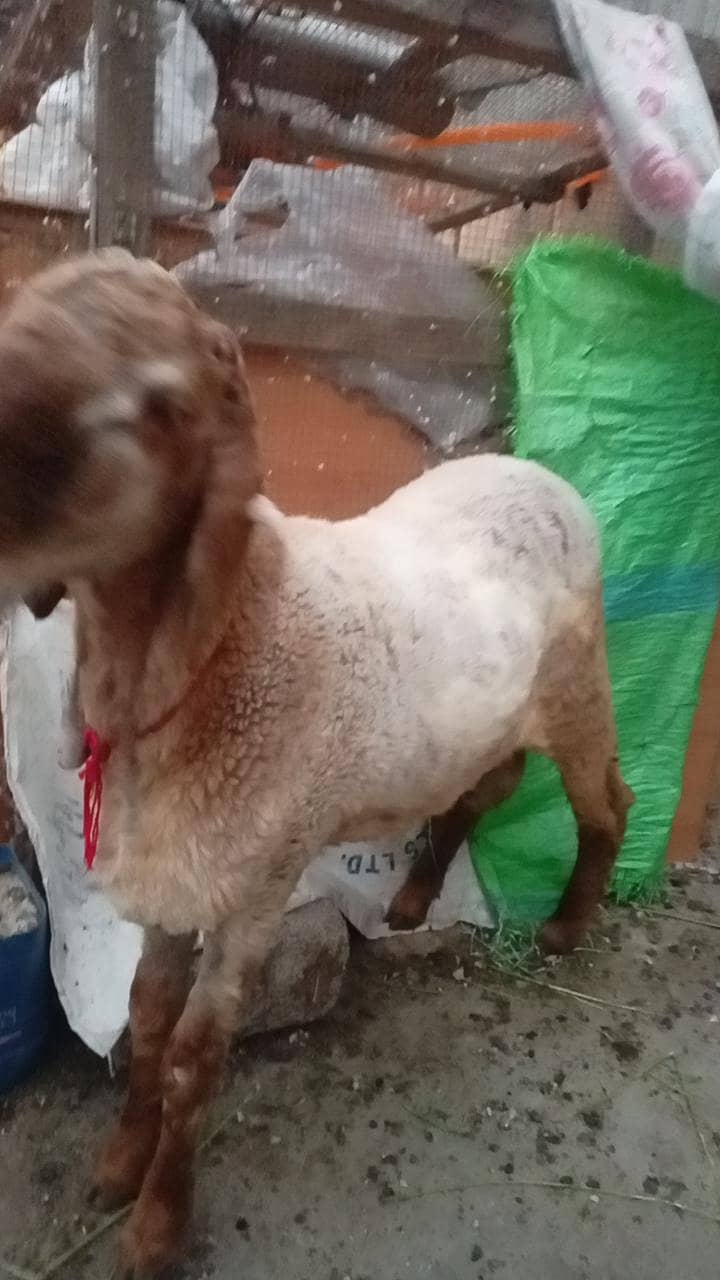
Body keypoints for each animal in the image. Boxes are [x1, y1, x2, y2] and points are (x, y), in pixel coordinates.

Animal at [0, 250, 633, 1277]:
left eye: (163, 405)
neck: (219, 643)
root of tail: (534, 469)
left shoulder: (255, 885)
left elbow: (193, 1058)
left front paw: (157, 1226)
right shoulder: (181, 870)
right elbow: (144, 1016)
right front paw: (120, 1164)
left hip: (581, 680)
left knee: (608, 802)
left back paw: (568, 928)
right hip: (490, 713)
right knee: (485, 786)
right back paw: (412, 902)